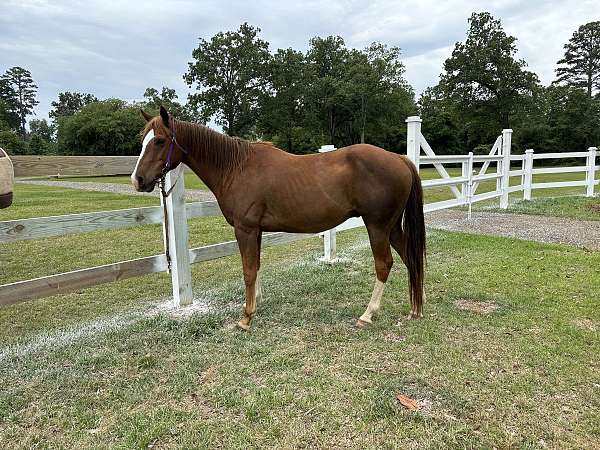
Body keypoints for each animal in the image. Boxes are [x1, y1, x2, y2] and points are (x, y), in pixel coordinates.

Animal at [134, 107, 424, 328]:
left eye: (159, 141)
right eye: (143, 141)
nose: (138, 180)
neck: (236, 167)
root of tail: (400, 158)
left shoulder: (245, 229)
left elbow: (248, 270)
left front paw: (246, 317)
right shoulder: (257, 230)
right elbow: (256, 265)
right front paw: (255, 303)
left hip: (377, 226)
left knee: (384, 264)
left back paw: (368, 314)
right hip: (392, 227)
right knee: (410, 257)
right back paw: (415, 310)